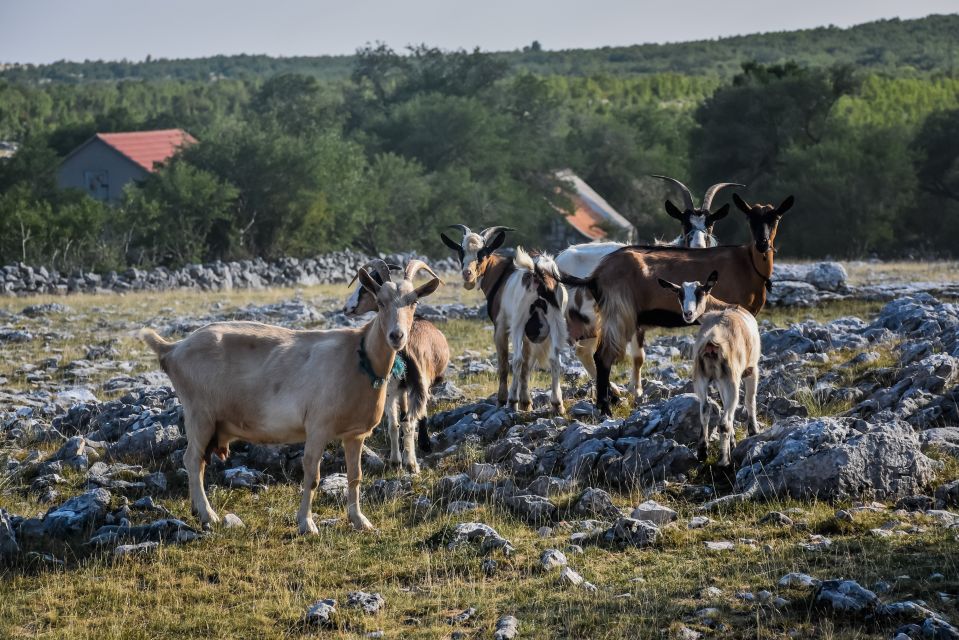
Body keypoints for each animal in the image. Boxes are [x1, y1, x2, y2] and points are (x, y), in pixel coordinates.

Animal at [141, 264, 440, 528]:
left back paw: (197, 509)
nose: (396, 336)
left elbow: (355, 476)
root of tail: (172, 349)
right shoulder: (318, 427)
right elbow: (312, 475)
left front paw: (360, 521)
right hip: (199, 413)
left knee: (199, 462)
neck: (358, 356)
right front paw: (306, 523)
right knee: (192, 460)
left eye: (413, 302)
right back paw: (208, 515)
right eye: (380, 302)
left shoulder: (355, 434)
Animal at [656, 270, 760, 464]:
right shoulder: (751, 370)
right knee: (725, 421)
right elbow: (750, 401)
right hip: (731, 381)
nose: (688, 313)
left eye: (700, 292)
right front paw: (753, 432)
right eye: (679, 293)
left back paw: (703, 451)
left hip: (701, 379)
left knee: (704, 410)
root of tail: (712, 341)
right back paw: (724, 461)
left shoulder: (717, 382)